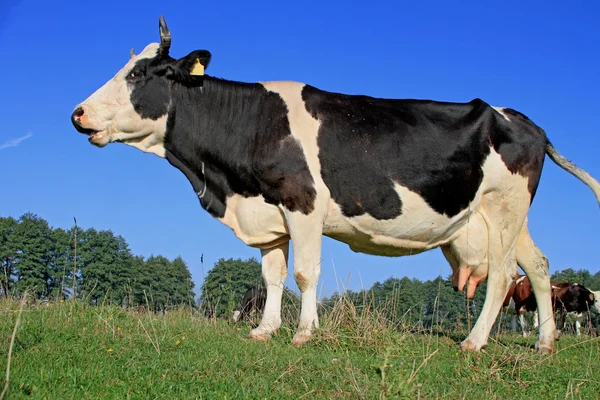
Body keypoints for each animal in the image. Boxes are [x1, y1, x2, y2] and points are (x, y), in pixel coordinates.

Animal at [71, 15, 600, 354]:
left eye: (140, 73)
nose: (78, 112)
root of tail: (523, 120)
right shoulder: (268, 213)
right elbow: (272, 277)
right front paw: (265, 331)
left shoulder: (303, 203)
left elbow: (306, 274)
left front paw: (305, 333)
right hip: (510, 216)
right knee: (539, 266)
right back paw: (545, 343)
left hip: (504, 210)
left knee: (504, 275)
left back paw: (474, 341)